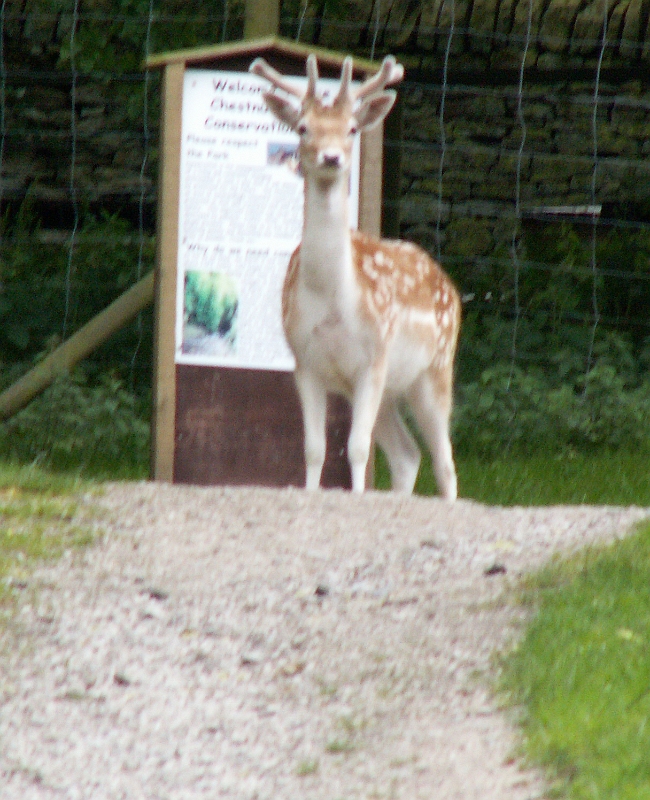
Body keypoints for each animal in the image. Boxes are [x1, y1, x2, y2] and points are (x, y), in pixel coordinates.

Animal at [249, 53, 460, 496]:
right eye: (303, 127)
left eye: (351, 128)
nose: (331, 157)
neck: (332, 301)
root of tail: (449, 285)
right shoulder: (306, 362)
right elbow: (315, 449)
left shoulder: (373, 358)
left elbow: (358, 449)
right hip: (388, 388)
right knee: (406, 453)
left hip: (434, 369)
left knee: (444, 460)